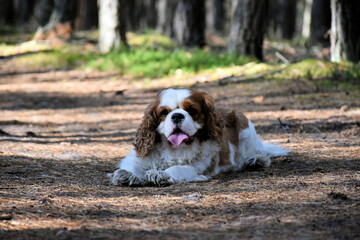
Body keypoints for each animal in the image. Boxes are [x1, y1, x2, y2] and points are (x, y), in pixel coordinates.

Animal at [107, 88, 290, 186]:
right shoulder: (136, 158)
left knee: (259, 154)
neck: (175, 149)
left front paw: (160, 174)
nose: (177, 116)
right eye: (164, 113)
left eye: (192, 110)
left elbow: (178, 168)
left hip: (244, 124)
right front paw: (127, 175)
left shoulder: (198, 167)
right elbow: (133, 167)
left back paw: (254, 161)